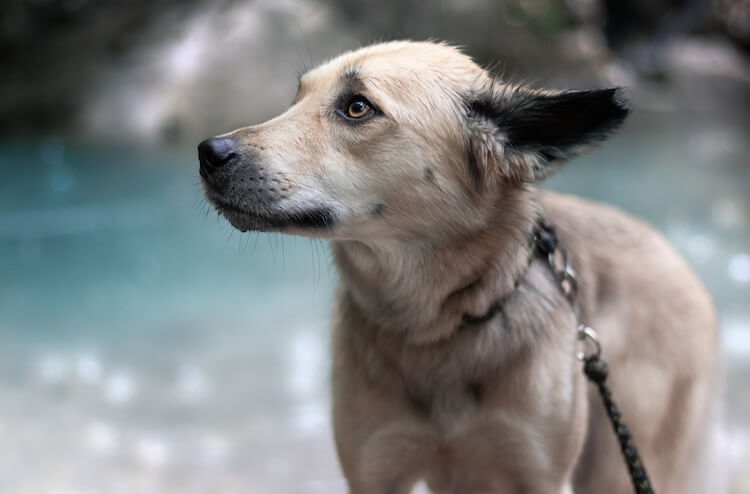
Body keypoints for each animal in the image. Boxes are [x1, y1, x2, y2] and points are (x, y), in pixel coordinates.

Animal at [198, 40, 724, 492]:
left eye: (357, 107)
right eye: (297, 98)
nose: (209, 153)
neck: (435, 328)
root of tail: (663, 244)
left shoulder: (541, 476)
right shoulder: (376, 471)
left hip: (623, 462)